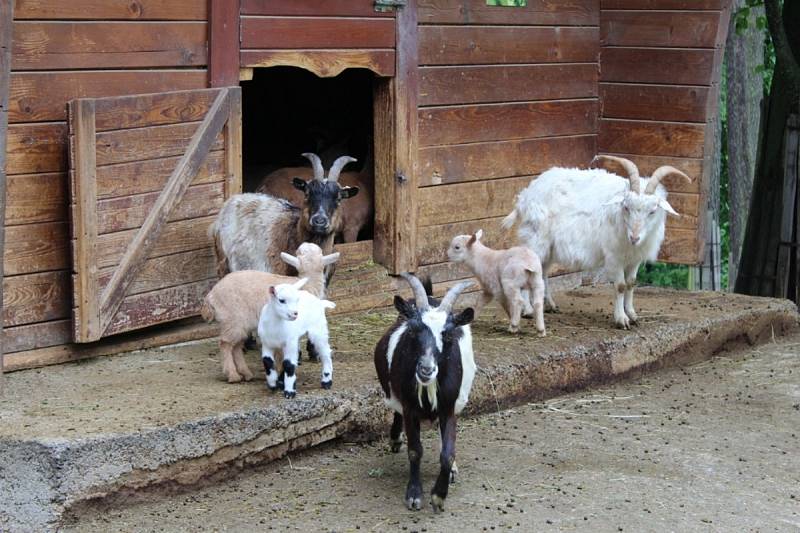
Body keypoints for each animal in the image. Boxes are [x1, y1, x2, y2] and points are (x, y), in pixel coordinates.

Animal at [376, 274, 476, 512]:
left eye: (447, 334)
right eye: (413, 329)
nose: (426, 369)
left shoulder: (449, 408)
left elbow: (447, 453)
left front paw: (439, 495)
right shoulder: (409, 407)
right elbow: (415, 450)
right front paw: (414, 495)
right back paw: (395, 440)